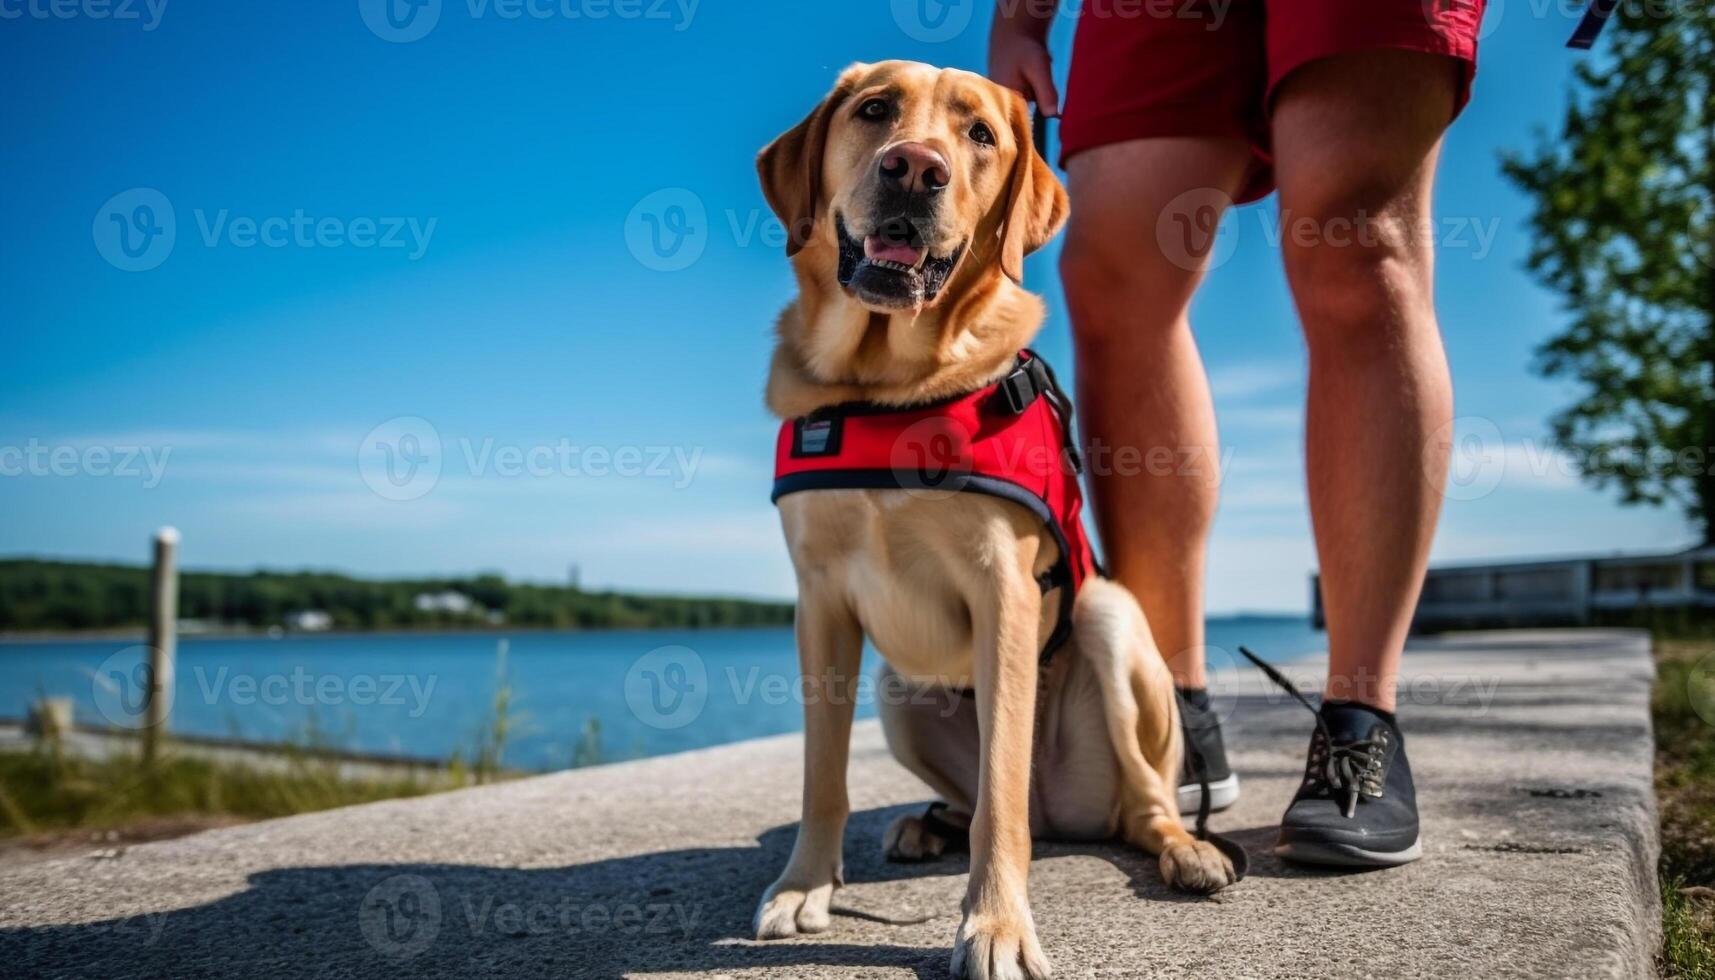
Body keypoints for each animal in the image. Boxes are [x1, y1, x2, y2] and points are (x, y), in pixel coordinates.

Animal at [751, 63, 1234, 980]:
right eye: (874, 110)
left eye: (980, 134)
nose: (914, 168)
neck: (886, 389)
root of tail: (1065, 812)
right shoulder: (819, 603)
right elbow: (820, 775)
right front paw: (803, 886)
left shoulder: (1002, 592)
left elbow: (999, 798)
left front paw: (997, 925)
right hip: (899, 689)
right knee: (980, 796)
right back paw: (923, 825)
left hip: (1109, 623)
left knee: (1133, 803)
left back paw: (1186, 851)